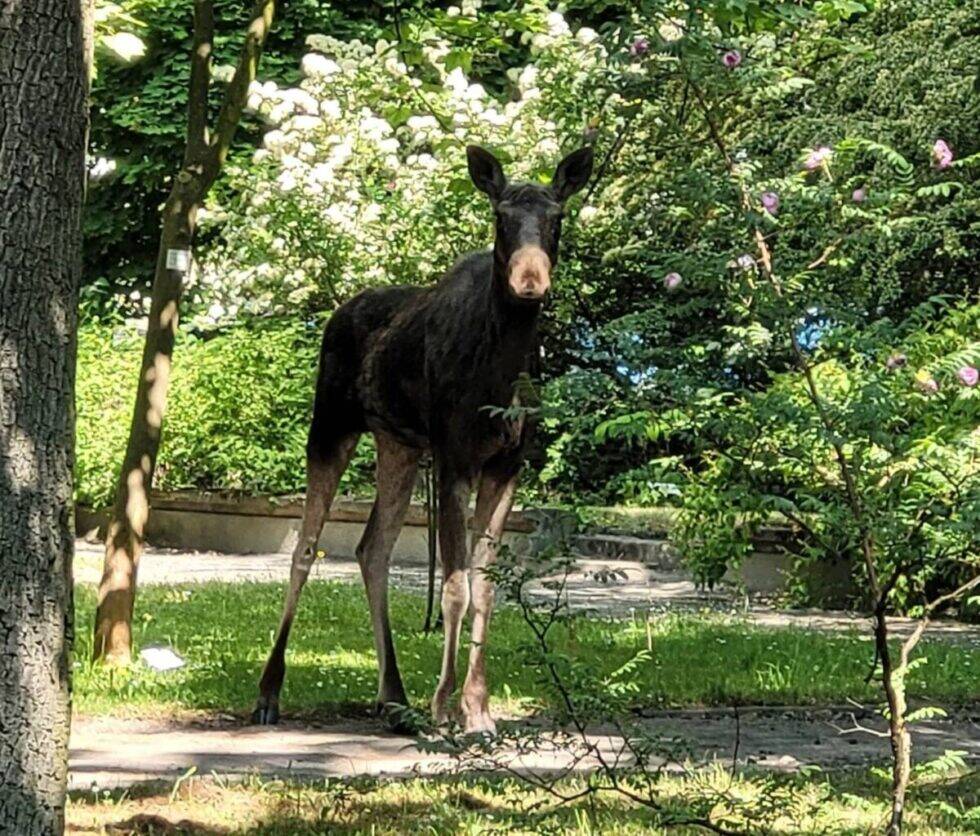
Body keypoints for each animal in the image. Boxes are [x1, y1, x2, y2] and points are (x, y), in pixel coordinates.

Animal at [253, 144, 592, 732]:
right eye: (500, 217)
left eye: (557, 217)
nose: (530, 281)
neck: (503, 366)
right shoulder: (456, 457)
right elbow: (455, 586)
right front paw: (444, 704)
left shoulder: (507, 464)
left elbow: (486, 585)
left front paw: (477, 707)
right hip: (330, 428)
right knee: (306, 549)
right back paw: (270, 691)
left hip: (400, 446)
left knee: (371, 548)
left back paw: (392, 695)